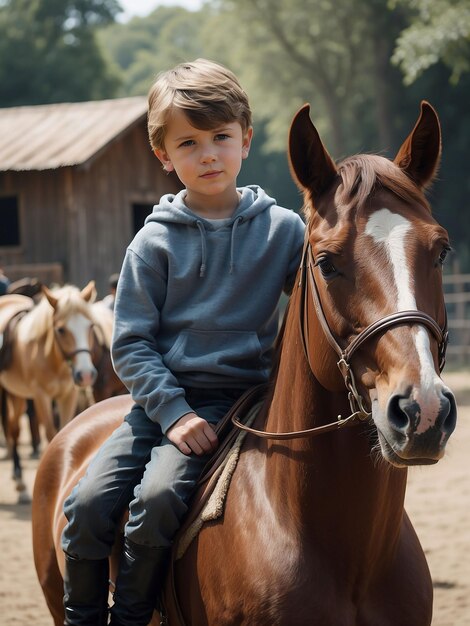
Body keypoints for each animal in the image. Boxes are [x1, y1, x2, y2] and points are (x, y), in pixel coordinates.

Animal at [0, 282, 97, 498]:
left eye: (91, 326)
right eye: (61, 330)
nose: (86, 374)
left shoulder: (69, 395)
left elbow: (67, 428)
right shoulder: (41, 396)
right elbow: (52, 433)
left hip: (18, 394)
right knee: (14, 430)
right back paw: (20, 482)